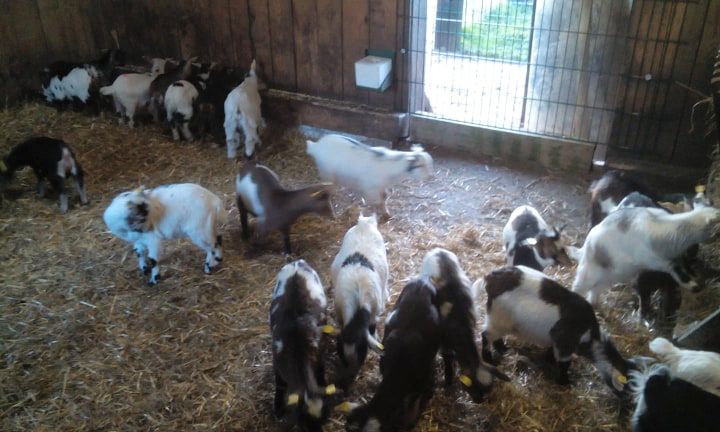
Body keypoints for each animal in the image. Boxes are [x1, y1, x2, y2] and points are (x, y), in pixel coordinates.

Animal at [306, 133, 434, 218]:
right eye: (419, 165)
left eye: (429, 163)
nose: (429, 177)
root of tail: (316, 146)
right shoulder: (370, 188)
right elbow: (375, 201)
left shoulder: (381, 187)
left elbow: (384, 197)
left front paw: (386, 213)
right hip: (326, 173)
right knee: (327, 190)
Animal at [330, 214, 388, 386]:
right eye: (340, 354)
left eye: (363, 352)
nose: (346, 381)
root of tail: (365, 223)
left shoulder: (374, 312)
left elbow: (373, 329)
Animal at [420, 248, 510, 404]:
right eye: (472, 388)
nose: (479, 402)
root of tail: (439, 250)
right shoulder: (444, 342)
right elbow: (447, 359)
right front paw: (448, 382)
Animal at [476, 264, 632, 394]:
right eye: (629, 387)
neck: (589, 334)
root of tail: (491, 277)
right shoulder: (565, 342)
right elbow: (564, 364)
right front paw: (564, 382)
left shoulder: (556, 339)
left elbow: (552, 352)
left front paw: (548, 359)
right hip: (498, 318)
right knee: (486, 335)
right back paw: (489, 359)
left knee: (495, 337)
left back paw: (503, 349)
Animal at [568, 204, 720, 306]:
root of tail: (586, 246)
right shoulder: (656, 260)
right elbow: (675, 270)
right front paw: (693, 286)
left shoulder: (675, 257)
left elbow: (681, 268)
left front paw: (694, 283)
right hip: (590, 271)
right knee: (579, 285)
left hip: (610, 275)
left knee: (596, 288)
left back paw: (593, 303)